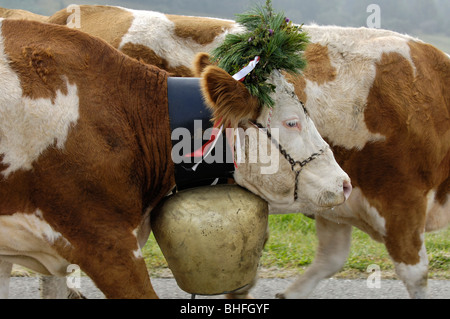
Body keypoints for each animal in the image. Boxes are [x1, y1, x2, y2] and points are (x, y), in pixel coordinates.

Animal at [46, 4, 450, 300]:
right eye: (292, 122)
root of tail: (72, 12)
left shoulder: (335, 199)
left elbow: (329, 259)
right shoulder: (401, 201)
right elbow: (416, 274)